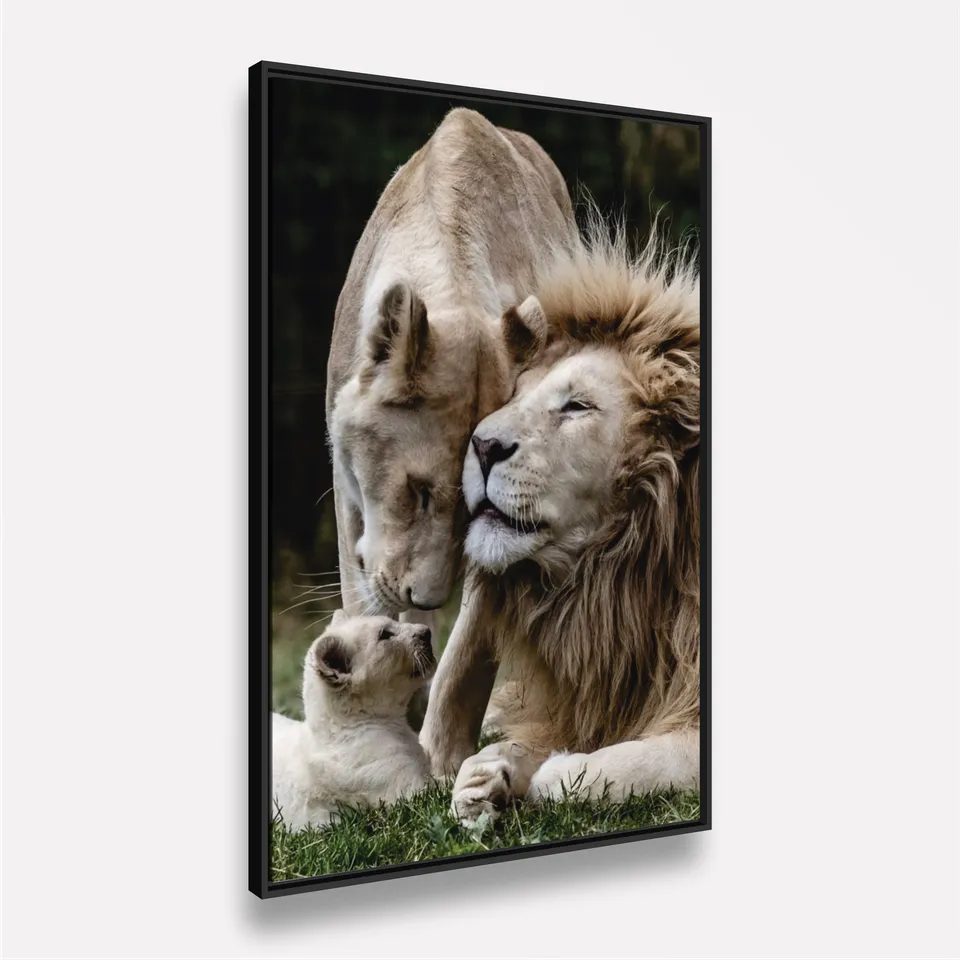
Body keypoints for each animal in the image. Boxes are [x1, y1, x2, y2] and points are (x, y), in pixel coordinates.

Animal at [418, 216, 701, 822]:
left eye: (577, 406)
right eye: (516, 394)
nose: (482, 445)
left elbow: (634, 761)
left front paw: (557, 772)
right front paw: (486, 774)